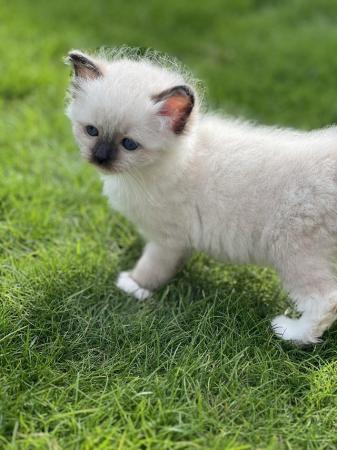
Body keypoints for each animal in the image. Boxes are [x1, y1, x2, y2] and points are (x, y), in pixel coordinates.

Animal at [64, 48, 336, 344]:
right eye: (92, 131)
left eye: (129, 144)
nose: (100, 158)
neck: (179, 159)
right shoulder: (178, 241)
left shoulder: (167, 239)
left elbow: (151, 267)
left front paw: (133, 285)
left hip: (292, 250)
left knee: (325, 300)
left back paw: (289, 332)